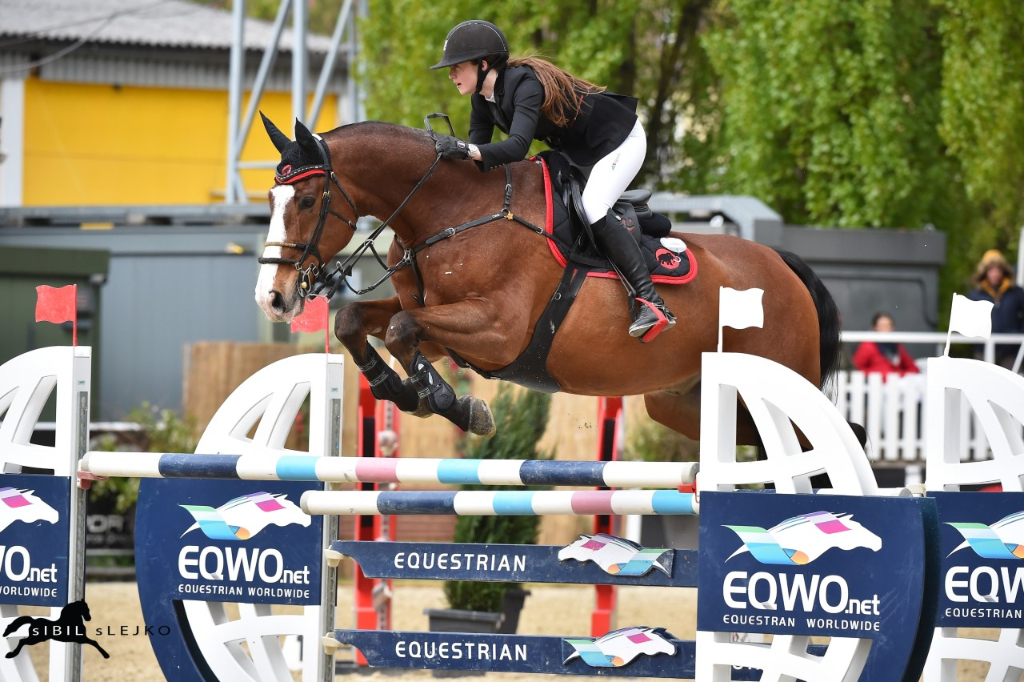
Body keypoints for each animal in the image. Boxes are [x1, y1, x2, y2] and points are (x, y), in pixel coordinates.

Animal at [253, 115, 839, 446]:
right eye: (271, 198)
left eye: (308, 200)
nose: (272, 298)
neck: (452, 209)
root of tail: (784, 266)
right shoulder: (437, 325)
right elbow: (357, 321)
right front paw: (400, 391)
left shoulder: (497, 331)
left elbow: (400, 329)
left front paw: (455, 405)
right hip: (684, 402)